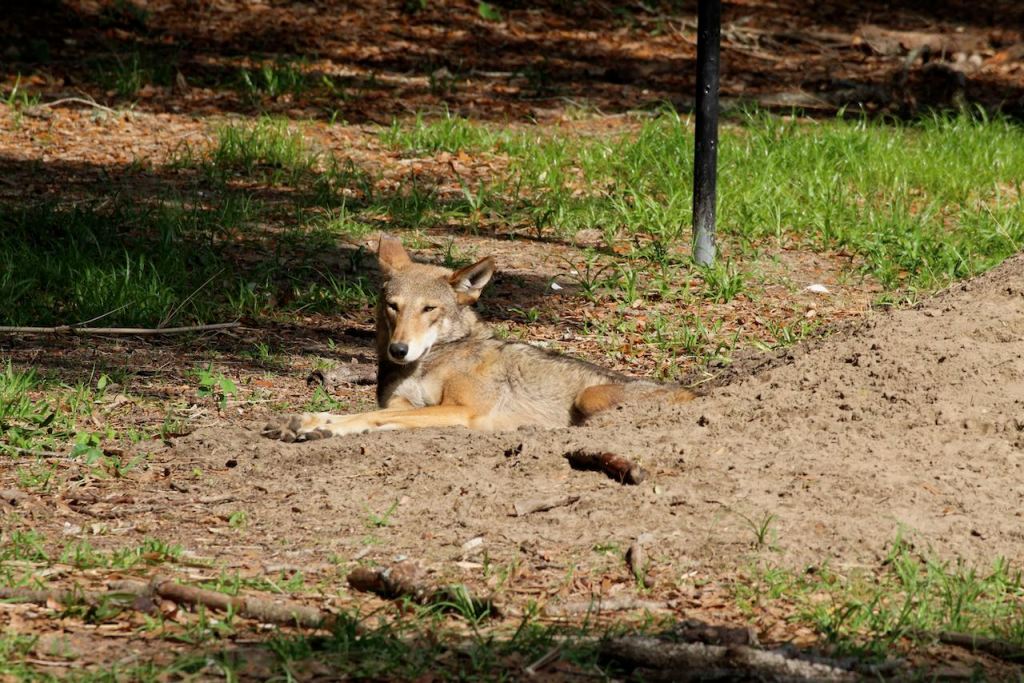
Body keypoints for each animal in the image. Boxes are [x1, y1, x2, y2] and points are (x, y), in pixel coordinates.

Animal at [261, 235, 695, 442]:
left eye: (429, 309)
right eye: (393, 307)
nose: (398, 350)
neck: (431, 361)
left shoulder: (460, 410)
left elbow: (372, 417)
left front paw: (323, 427)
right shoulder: (406, 406)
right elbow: (374, 416)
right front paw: (311, 423)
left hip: (589, 397)